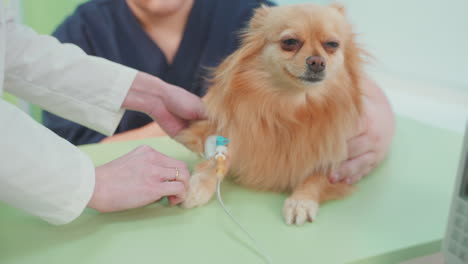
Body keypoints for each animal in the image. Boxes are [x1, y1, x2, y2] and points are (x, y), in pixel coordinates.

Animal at [174, 2, 364, 225]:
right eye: (289, 42)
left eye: (332, 44)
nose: (317, 61)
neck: (293, 105)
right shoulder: (236, 134)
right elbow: (218, 159)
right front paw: (199, 185)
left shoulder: (337, 158)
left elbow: (316, 176)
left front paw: (300, 201)